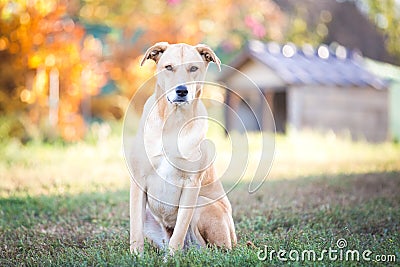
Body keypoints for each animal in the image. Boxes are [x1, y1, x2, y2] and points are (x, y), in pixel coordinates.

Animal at [130, 43, 238, 256]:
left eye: (193, 68)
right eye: (168, 67)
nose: (181, 91)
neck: (173, 123)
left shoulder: (191, 185)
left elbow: (179, 231)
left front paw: (172, 258)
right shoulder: (138, 182)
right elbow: (135, 229)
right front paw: (136, 256)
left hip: (202, 204)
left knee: (210, 249)